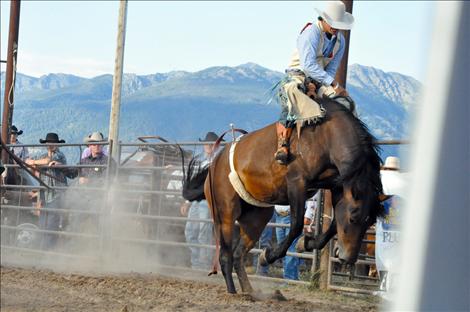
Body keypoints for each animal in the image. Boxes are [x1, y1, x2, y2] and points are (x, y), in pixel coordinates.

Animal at [182, 100, 384, 294]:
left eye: (370, 222)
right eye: (353, 218)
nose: (348, 258)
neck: (327, 136)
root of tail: (214, 164)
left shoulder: (337, 184)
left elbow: (333, 224)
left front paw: (305, 243)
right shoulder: (296, 183)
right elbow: (296, 225)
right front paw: (268, 256)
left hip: (256, 218)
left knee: (239, 254)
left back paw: (249, 291)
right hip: (224, 213)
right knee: (226, 255)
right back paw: (232, 291)